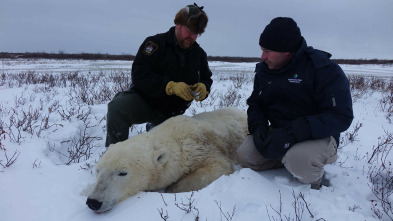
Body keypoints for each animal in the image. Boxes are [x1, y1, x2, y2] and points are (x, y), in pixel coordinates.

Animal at [86, 107, 247, 212]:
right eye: (98, 170)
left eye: (122, 173)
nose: (93, 202)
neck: (176, 139)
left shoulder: (203, 148)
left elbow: (218, 167)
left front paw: (170, 189)